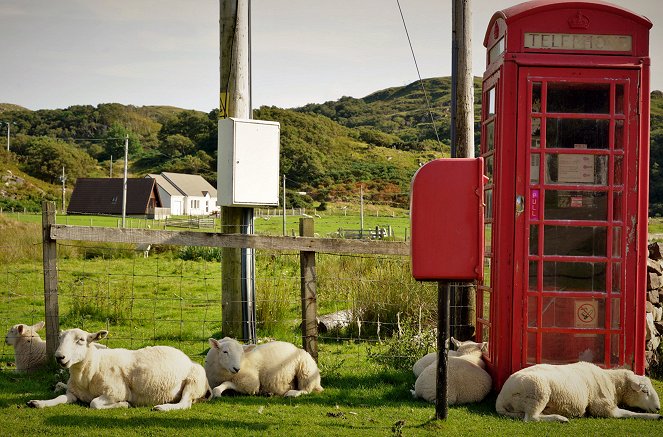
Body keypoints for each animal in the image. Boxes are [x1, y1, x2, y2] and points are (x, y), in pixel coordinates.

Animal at [27, 328, 209, 408]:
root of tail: (186, 358)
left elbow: (94, 403)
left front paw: (123, 405)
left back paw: (162, 407)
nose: (59, 357)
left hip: (194, 380)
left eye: (81, 340)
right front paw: (38, 402)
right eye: (60, 338)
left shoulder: (116, 392)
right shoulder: (72, 393)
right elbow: (60, 398)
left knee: (185, 403)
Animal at [496, 360, 660, 420]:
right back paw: (560, 418)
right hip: (538, 392)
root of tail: (501, 398)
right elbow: (628, 413)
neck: (612, 383)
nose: (658, 407)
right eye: (645, 391)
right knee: (531, 418)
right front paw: (655, 417)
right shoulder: (603, 408)